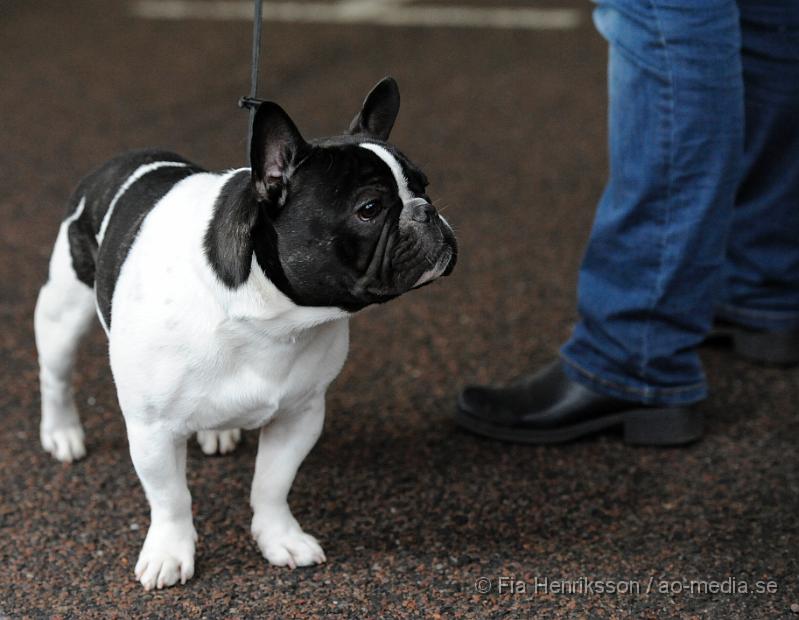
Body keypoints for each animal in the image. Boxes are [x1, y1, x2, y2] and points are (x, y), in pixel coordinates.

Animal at [32, 78, 456, 592]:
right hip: (64, 308)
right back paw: (62, 433)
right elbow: (171, 499)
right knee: (56, 374)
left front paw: (280, 538)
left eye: (424, 186)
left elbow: (272, 484)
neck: (273, 319)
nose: (427, 211)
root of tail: (118, 161)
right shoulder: (153, 431)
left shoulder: (300, 414)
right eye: (370, 209)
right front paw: (170, 552)